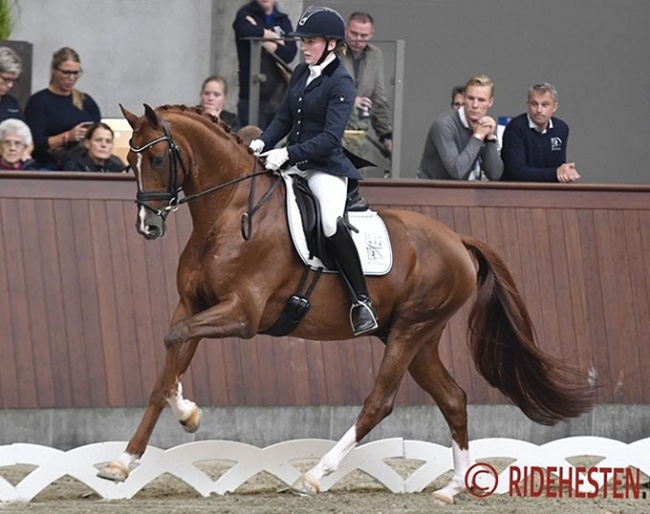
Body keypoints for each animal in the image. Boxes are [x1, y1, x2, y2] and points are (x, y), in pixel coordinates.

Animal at [97, 105, 592, 504]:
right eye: (129, 159)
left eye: (157, 159)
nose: (148, 226)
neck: (229, 213)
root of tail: (456, 239)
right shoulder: (191, 304)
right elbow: (165, 369)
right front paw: (124, 461)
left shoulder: (242, 314)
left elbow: (173, 342)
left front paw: (187, 414)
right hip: (418, 338)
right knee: (453, 398)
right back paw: (452, 488)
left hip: (410, 331)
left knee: (379, 402)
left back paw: (315, 476)